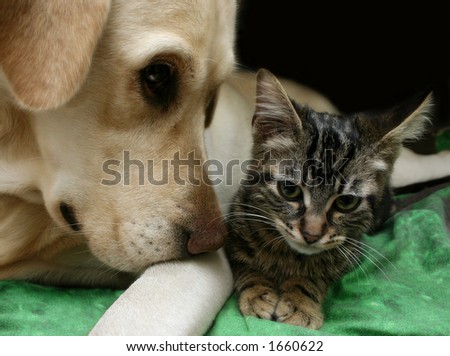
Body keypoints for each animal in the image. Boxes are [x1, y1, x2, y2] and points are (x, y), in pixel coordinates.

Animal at [225, 69, 432, 328]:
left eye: (346, 202)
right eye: (289, 189)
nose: (311, 235)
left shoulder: (352, 248)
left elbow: (318, 273)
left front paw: (300, 301)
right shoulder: (235, 225)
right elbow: (245, 263)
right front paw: (257, 291)